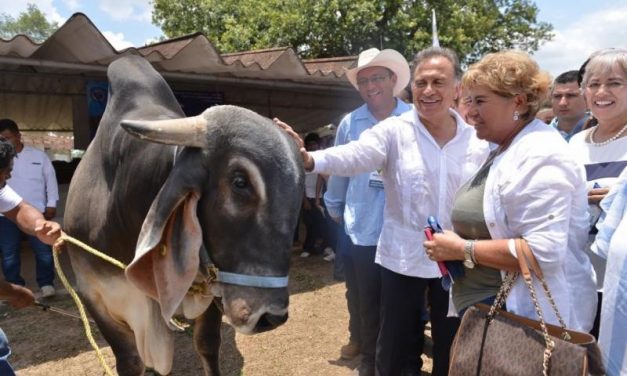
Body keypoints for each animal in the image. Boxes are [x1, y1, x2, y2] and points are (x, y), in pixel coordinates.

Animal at [64, 54, 306, 374]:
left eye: (299, 189)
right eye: (240, 181)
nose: (271, 316)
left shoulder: (211, 295)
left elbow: (207, 344)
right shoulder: (94, 297)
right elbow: (130, 360)